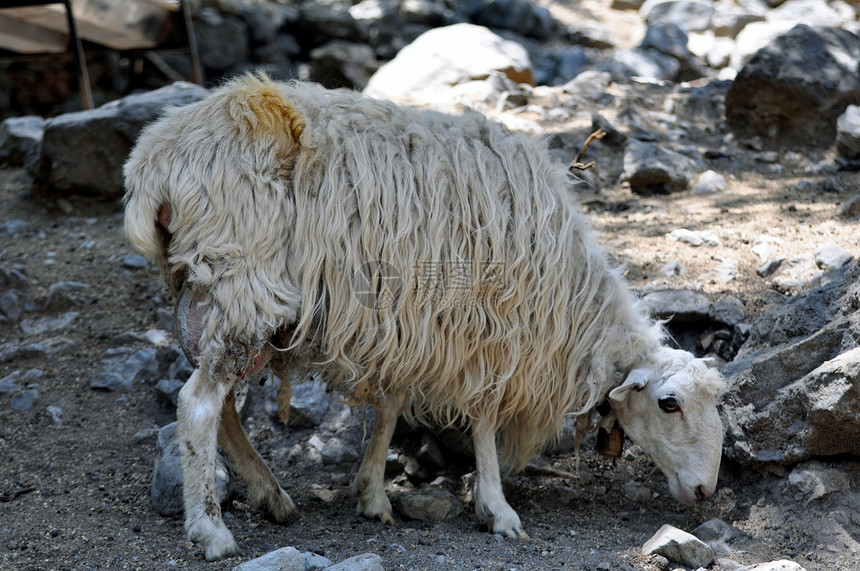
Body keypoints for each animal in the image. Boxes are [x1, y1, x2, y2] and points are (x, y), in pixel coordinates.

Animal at [122, 73, 724, 560]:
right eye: (669, 404)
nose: (705, 492)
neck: (572, 302)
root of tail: (154, 160)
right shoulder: (487, 327)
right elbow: (483, 419)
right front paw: (496, 508)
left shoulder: (408, 325)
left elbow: (390, 408)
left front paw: (371, 494)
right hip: (242, 285)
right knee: (198, 404)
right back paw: (211, 531)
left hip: (213, 294)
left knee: (219, 406)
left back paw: (272, 496)